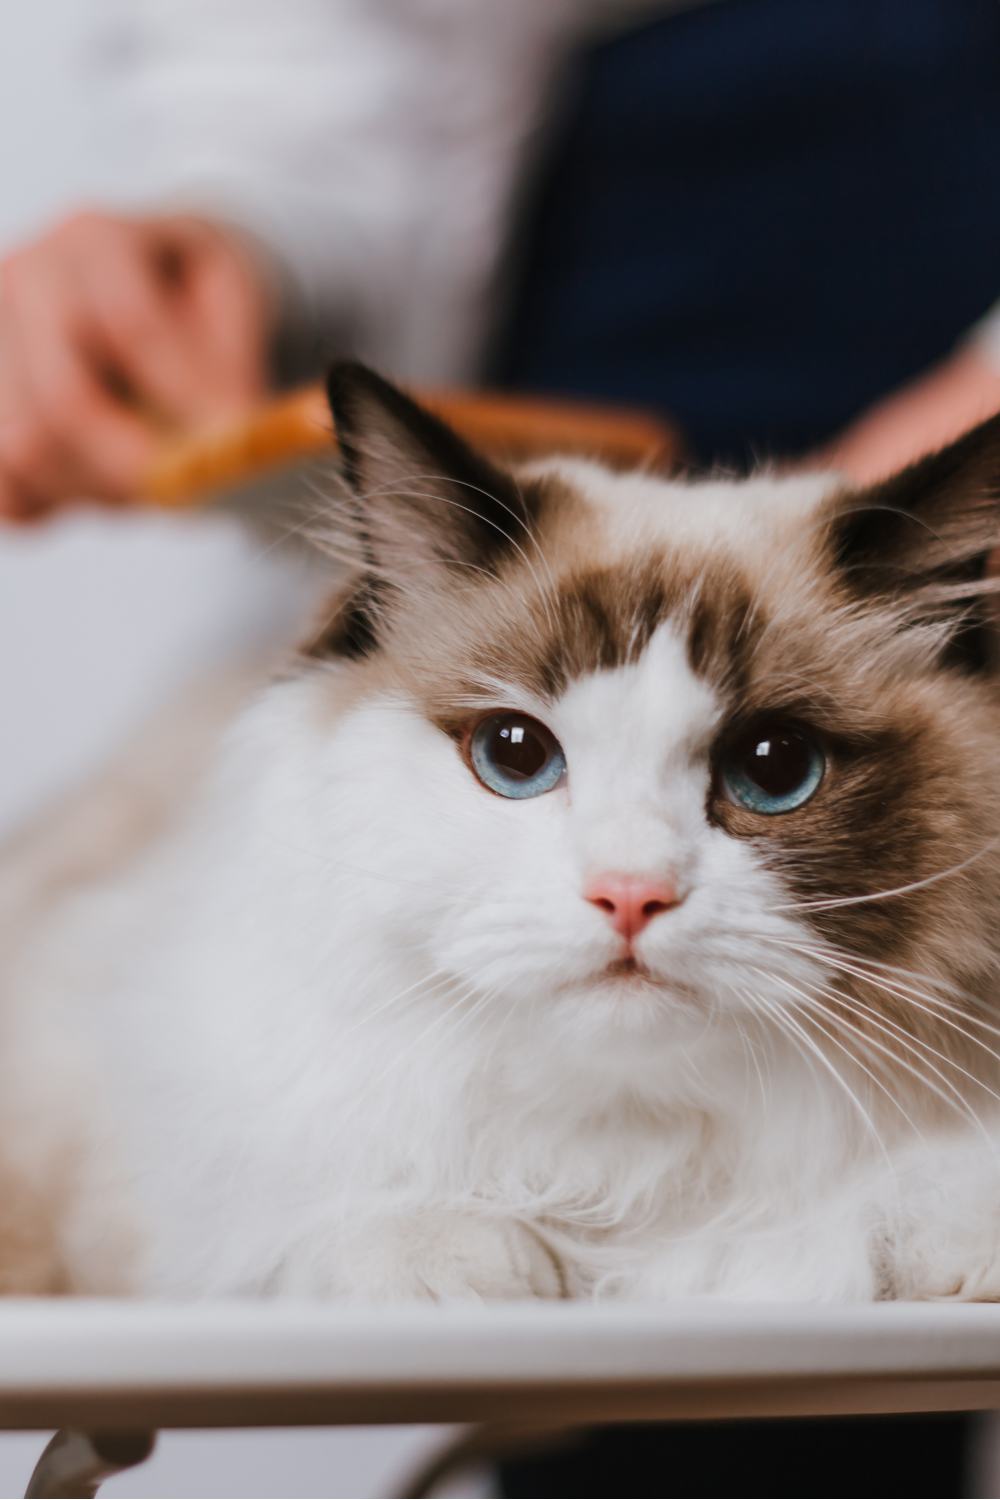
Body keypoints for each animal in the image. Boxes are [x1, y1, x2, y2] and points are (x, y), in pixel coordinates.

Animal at [5, 360, 1000, 1302]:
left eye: (775, 766)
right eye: (515, 755)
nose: (630, 895)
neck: (626, 1161)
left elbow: (922, 1207)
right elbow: (315, 1226)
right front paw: (459, 1264)